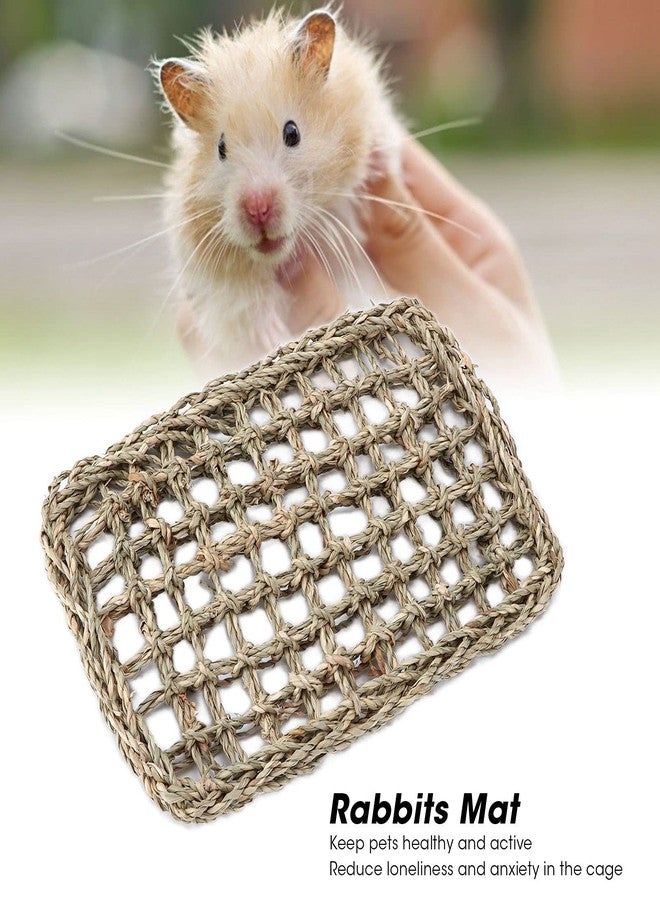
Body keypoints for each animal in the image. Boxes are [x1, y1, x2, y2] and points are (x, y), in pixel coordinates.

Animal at [156, 6, 404, 372]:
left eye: (292, 132)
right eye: (221, 148)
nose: (257, 209)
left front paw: (376, 162)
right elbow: (239, 303)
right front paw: (270, 338)